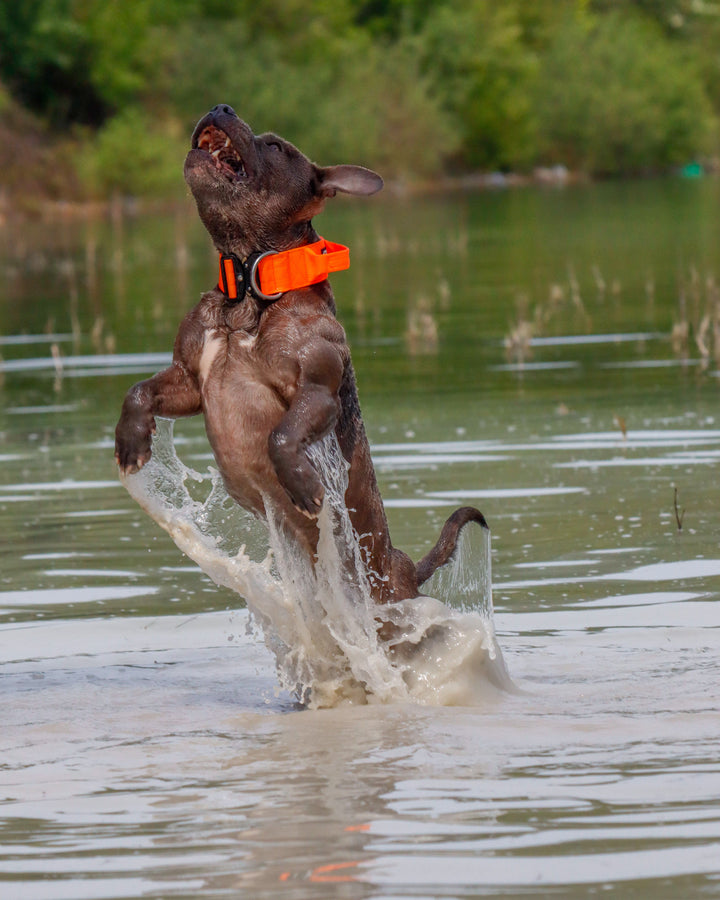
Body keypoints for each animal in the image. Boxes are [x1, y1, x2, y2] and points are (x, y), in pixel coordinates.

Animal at [115, 103, 486, 624]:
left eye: (275, 146)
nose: (221, 107)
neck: (248, 288)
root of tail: (407, 569)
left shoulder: (316, 389)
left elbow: (282, 433)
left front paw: (303, 484)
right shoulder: (188, 380)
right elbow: (139, 391)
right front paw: (131, 442)